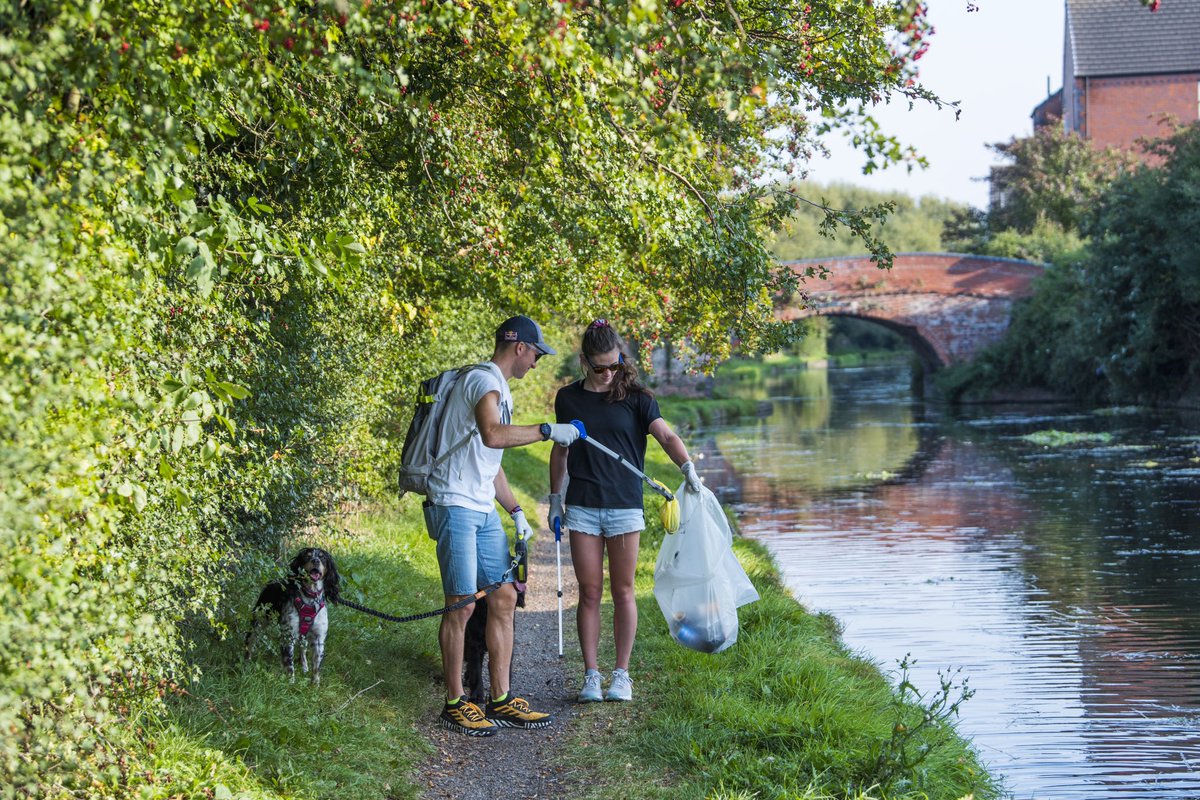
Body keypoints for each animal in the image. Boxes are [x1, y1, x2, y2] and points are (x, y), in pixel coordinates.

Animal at [243, 551, 338, 690]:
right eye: (307, 555)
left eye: (323, 557)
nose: (315, 560)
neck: (310, 600)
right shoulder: (288, 636)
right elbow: (289, 664)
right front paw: (290, 684)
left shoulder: (319, 639)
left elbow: (316, 667)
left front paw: (315, 686)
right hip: (259, 621)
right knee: (250, 641)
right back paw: (246, 662)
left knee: (303, 647)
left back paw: (304, 666)